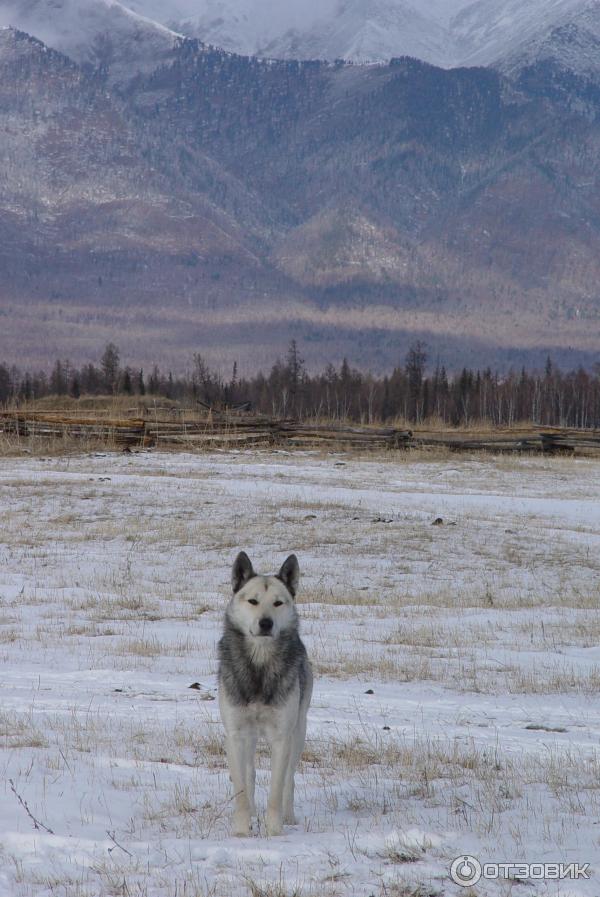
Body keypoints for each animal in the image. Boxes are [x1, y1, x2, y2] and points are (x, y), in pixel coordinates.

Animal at [217, 548, 312, 836]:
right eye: (253, 601)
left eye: (278, 603)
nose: (266, 623)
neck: (259, 666)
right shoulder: (235, 734)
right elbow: (241, 789)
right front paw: (241, 830)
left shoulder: (282, 736)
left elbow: (276, 790)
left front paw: (274, 831)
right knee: (249, 775)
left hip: (299, 731)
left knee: (290, 779)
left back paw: (289, 816)